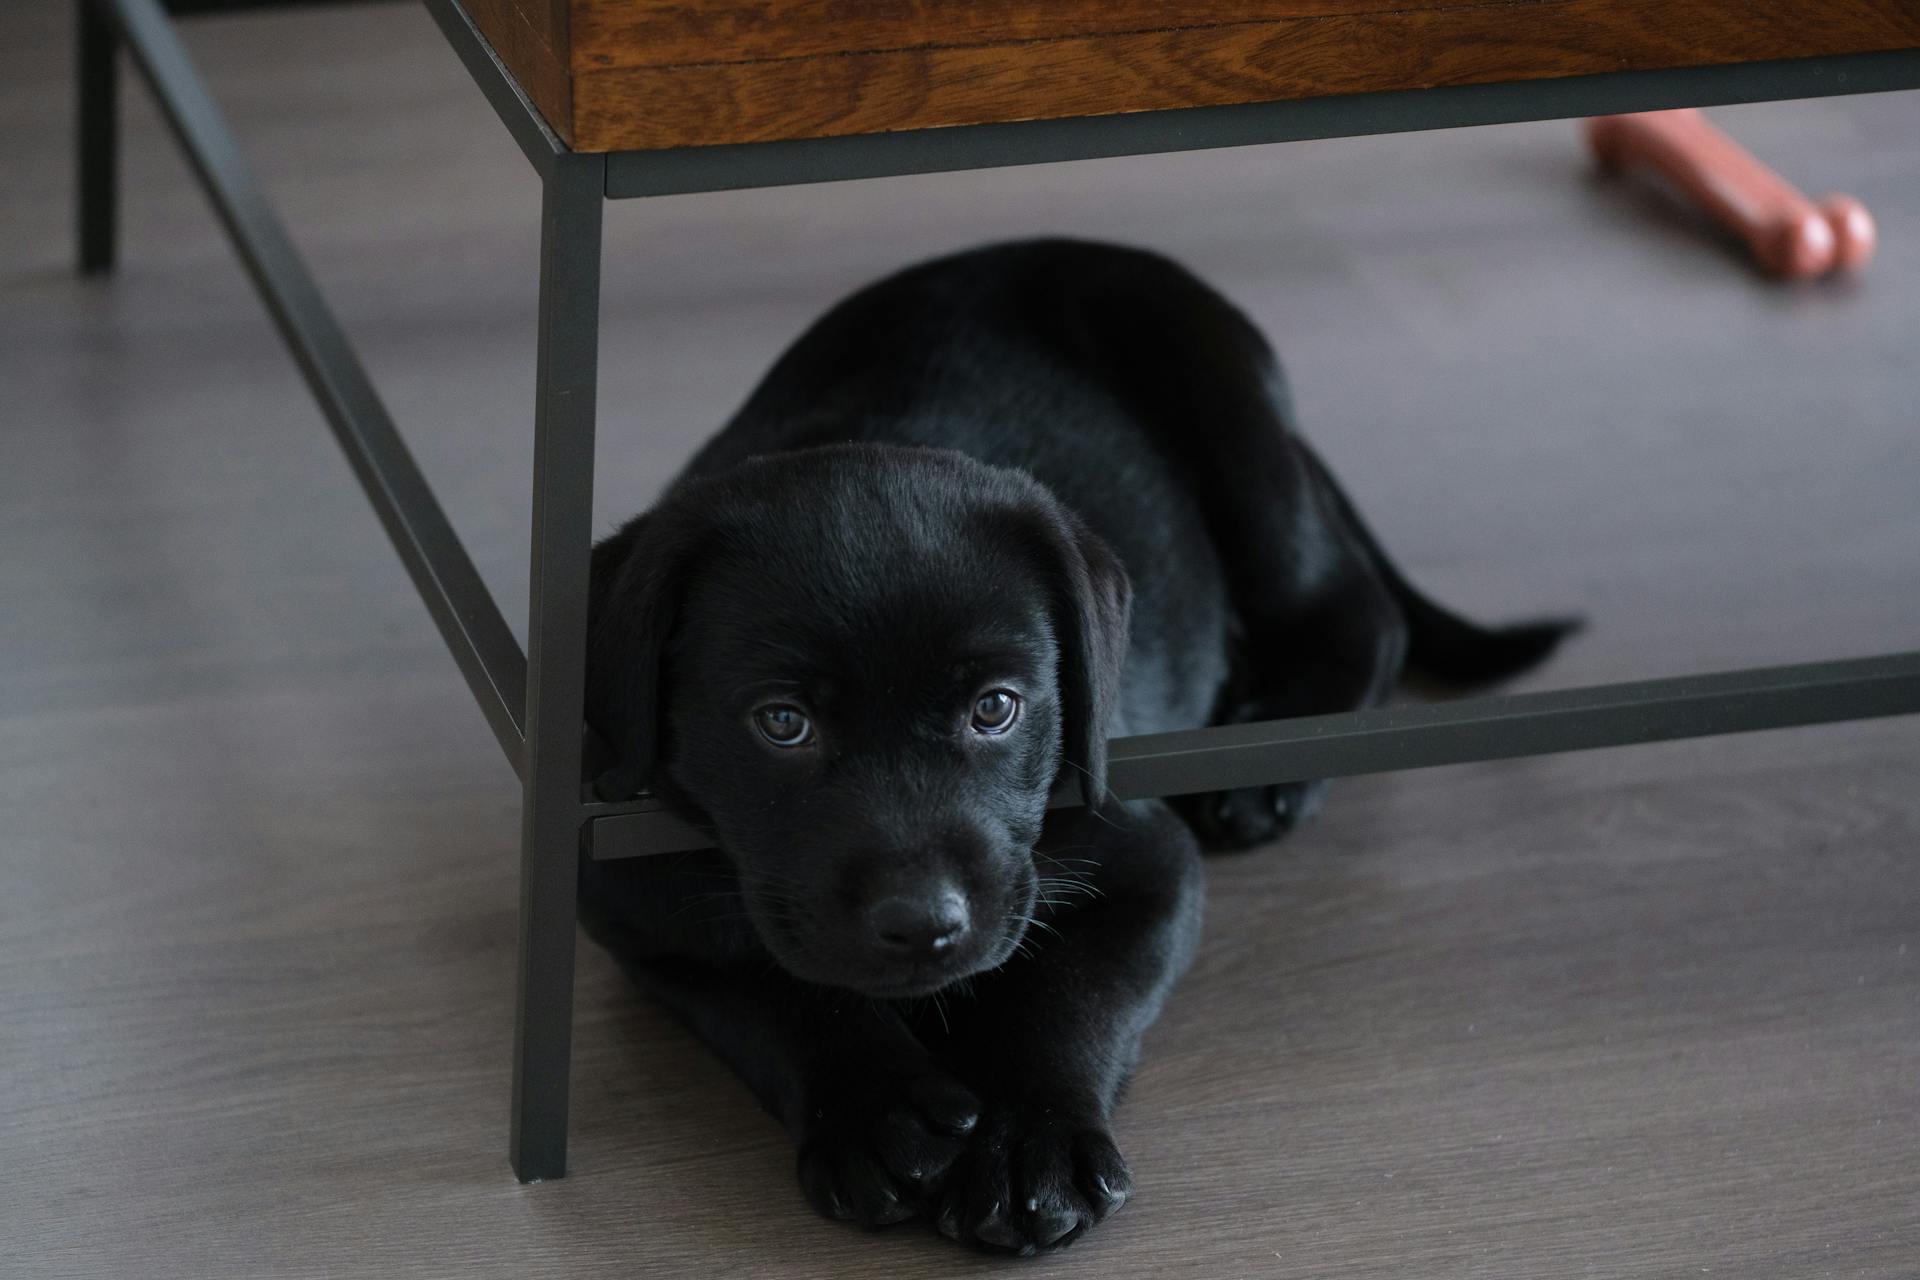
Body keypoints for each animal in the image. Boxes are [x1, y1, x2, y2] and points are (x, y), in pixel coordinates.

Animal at [576, 237, 1566, 1251]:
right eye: (782, 723)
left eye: (997, 709)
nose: (924, 924)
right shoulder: (636, 903)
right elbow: (770, 985)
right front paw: (876, 1109)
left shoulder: (1144, 863)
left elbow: (1068, 998)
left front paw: (1030, 1147)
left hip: (1234, 429)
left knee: (1357, 610)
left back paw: (1270, 762)